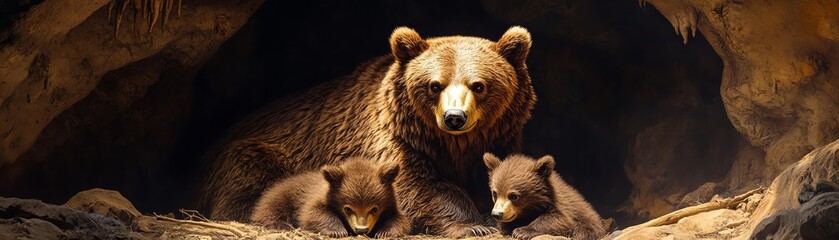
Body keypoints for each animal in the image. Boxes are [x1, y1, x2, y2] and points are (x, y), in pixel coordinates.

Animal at [249, 156, 410, 238]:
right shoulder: (316, 198)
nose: (361, 229)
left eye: (374, 208)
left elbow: (399, 219)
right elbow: (313, 213)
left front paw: (384, 232)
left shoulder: (391, 206)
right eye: (348, 209)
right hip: (283, 196)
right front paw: (337, 231)